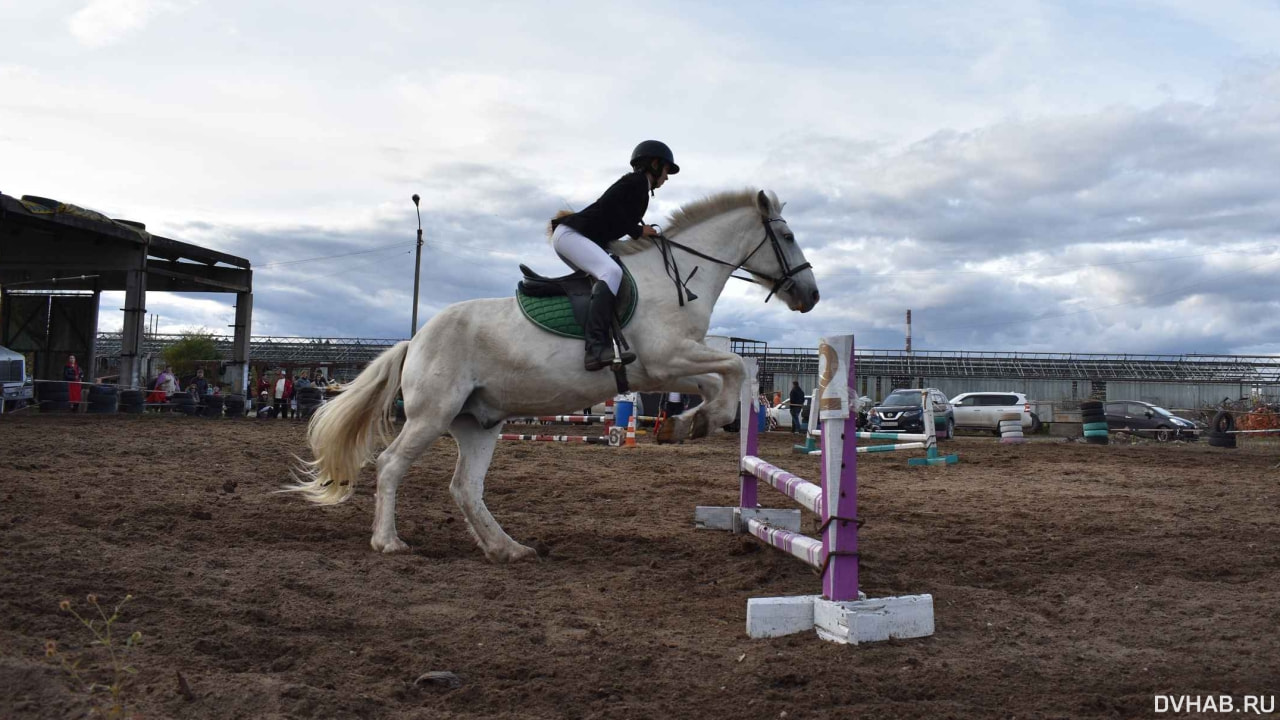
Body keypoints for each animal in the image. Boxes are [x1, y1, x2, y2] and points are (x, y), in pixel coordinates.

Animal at [291, 188, 819, 558]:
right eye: (789, 237)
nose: (810, 295)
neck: (678, 277)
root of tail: (415, 340)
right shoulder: (668, 358)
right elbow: (732, 367)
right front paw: (693, 423)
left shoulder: (665, 369)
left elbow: (720, 385)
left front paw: (687, 424)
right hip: (431, 416)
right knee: (391, 465)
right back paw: (389, 542)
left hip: (477, 422)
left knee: (465, 488)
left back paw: (507, 548)